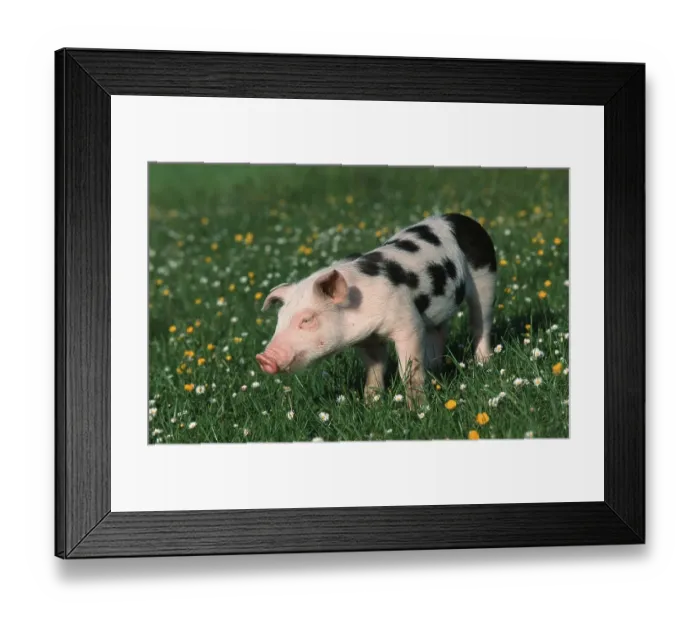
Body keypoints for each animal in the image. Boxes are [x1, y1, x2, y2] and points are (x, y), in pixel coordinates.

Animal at [255, 213, 497, 407]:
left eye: (307, 320)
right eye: (279, 320)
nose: (263, 358)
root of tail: (462, 219)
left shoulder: (408, 323)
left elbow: (409, 372)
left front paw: (418, 410)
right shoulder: (368, 339)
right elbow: (374, 371)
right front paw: (371, 405)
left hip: (485, 278)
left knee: (481, 322)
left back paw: (483, 364)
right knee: (440, 331)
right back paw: (435, 370)